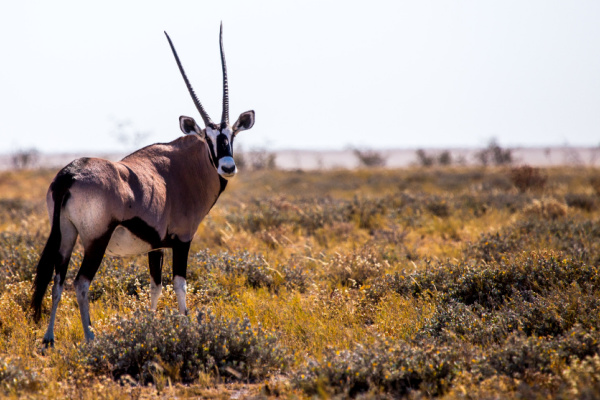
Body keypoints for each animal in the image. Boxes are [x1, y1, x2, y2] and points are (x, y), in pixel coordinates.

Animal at [30, 24, 253, 344]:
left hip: (65, 235)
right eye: (207, 138)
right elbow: (180, 284)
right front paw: (186, 327)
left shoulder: (155, 247)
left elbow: (155, 287)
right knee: (81, 283)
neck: (181, 169)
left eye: (231, 135)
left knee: (58, 280)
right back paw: (91, 338)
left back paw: (49, 338)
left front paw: (150, 325)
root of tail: (70, 173)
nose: (227, 166)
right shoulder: (182, 240)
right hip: (96, 240)